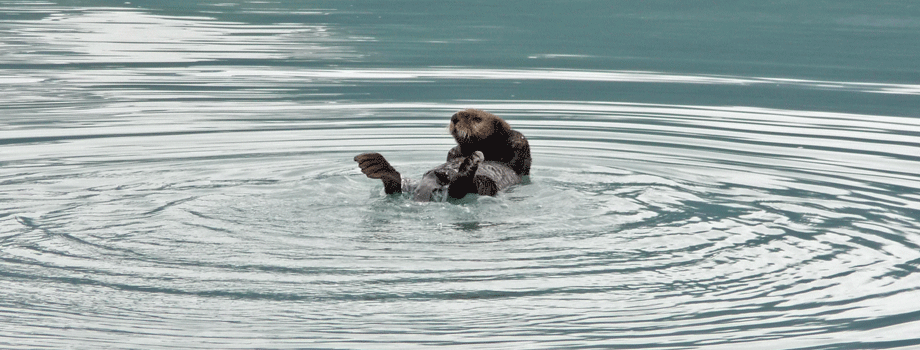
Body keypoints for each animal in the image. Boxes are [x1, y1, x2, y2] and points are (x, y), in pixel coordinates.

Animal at [358, 109, 532, 202]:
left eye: (477, 118)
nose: (454, 117)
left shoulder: (518, 149)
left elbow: (517, 153)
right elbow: (453, 153)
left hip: (485, 185)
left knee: (462, 188)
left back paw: (469, 165)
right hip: (413, 184)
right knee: (397, 187)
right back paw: (376, 165)